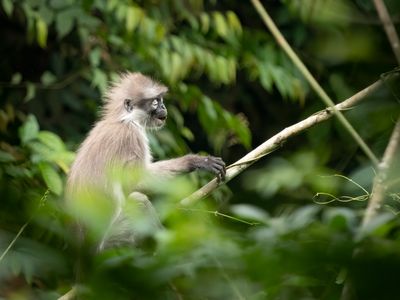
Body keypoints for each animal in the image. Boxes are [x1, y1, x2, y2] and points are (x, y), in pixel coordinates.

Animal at [67, 71, 227, 250]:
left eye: (161, 100)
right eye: (155, 102)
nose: (163, 107)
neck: (123, 120)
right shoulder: (132, 137)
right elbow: (135, 183)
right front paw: (198, 161)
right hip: (114, 241)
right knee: (139, 200)